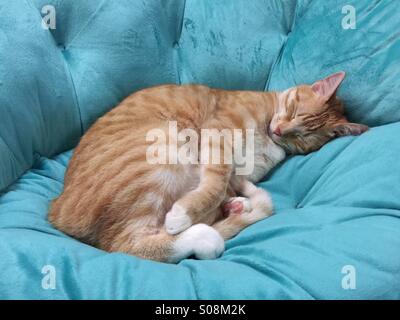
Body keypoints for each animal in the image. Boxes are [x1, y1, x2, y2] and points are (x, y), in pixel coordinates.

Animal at [48, 72, 368, 262]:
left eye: (302, 136)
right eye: (292, 112)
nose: (280, 130)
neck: (267, 134)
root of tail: (57, 208)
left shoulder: (241, 170)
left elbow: (223, 188)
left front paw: (231, 203)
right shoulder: (217, 136)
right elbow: (214, 186)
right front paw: (185, 213)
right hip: (161, 151)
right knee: (128, 244)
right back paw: (201, 235)